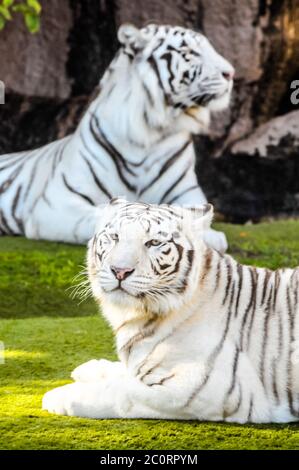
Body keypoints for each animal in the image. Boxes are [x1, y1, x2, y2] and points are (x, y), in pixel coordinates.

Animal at [43, 197, 299, 422]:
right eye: (114, 237)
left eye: (154, 243)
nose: (120, 271)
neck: (138, 314)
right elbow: (126, 371)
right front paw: (91, 367)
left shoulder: (203, 388)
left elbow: (120, 390)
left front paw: (58, 395)